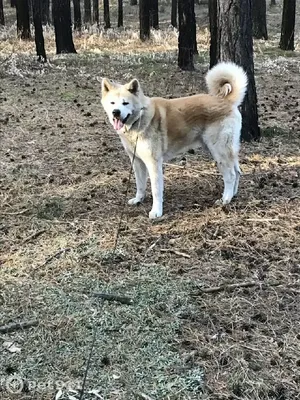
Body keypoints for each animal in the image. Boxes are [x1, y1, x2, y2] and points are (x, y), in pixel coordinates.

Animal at [102, 61, 247, 219]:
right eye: (112, 103)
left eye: (125, 103)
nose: (116, 112)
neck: (139, 120)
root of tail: (226, 100)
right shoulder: (137, 161)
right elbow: (140, 184)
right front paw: (139, 199)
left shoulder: (154, 163)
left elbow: (156, 190)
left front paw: (156, 211)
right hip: (224, 150)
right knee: (237, 171)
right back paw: (233, 195)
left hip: (219, 151)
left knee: (231, 175)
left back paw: (225, 199)